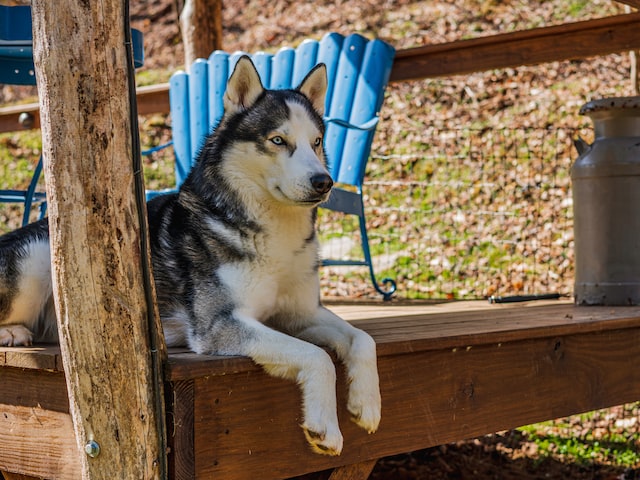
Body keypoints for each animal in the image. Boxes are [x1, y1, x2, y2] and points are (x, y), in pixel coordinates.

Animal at [0, 58, 380, 456]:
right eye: (278, 140)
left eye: (316, 142)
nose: (324, 181)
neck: (271, 233)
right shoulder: (220, 325)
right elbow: (316, 355)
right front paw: (326, 427)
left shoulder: (301, 313)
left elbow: (363, 339)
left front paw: (367, 404)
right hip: (38, 256)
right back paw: (13, 332)